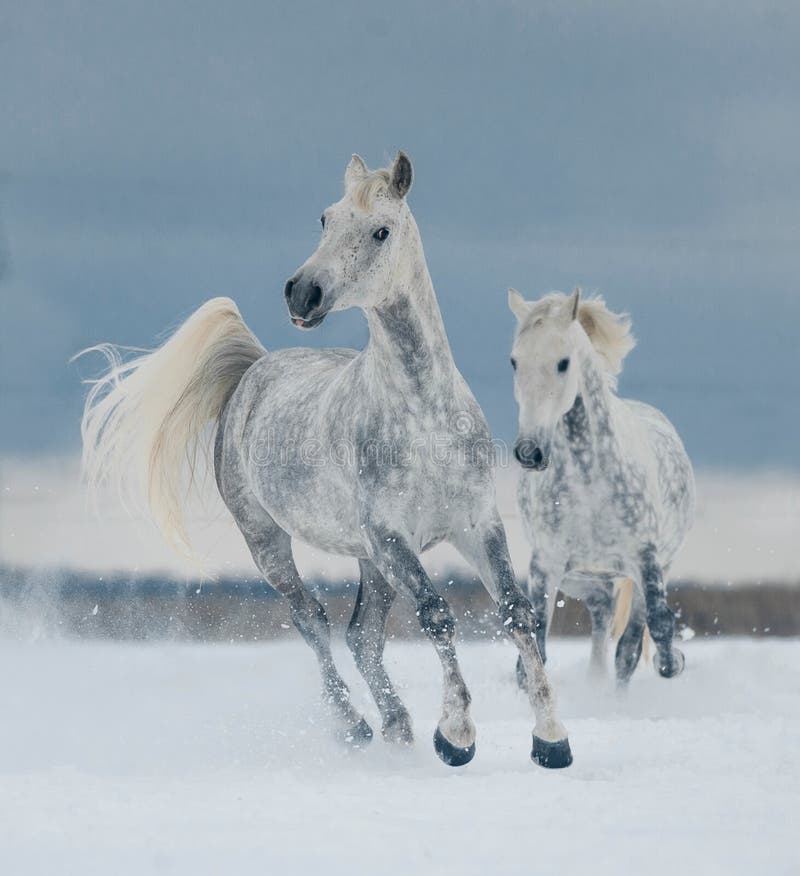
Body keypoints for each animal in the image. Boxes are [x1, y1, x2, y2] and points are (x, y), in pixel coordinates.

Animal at [78, 156, 572, 768]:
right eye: (326, 218)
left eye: (381, 230)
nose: (302, 293)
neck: (424, 418)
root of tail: (254, 371)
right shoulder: (392, 536)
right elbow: (436, 614)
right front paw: (456, 735)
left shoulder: (475, 526)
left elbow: (516, 612)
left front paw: (551, 738)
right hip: (270, 542)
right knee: (311, 620)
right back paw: (355, 725)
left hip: (370, 562)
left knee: (363, 636)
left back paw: (397, 724)